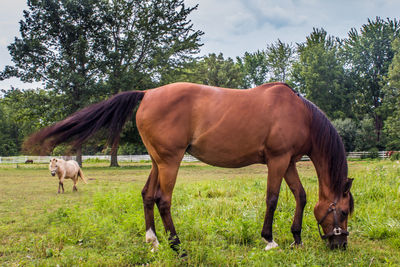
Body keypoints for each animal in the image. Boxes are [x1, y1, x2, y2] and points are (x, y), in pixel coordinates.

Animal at [25, 81, 354, 251]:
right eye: (344, 211)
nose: (340, 245)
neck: (299, 113)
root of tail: (147, 93)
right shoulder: (278, 160)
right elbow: (272, 199)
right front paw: (270, 240)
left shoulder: (288, 162)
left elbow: (301, 195)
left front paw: (296, 237)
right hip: (170, 162)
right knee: (163, 199)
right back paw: (177, 245)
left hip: (158, 162)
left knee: (147, 195)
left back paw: (153, 240)